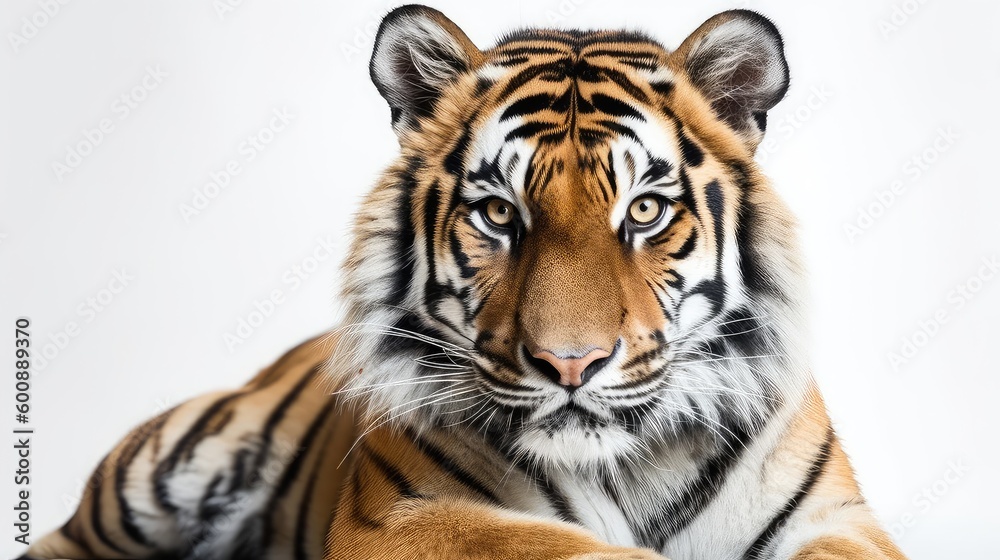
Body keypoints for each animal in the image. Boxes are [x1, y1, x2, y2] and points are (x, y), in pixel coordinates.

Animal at [22, 5, 908, 560]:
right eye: (498, 213)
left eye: (645, 210)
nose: (571, 364)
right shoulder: (406, 516)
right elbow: (561, 549)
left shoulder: (838, 520)